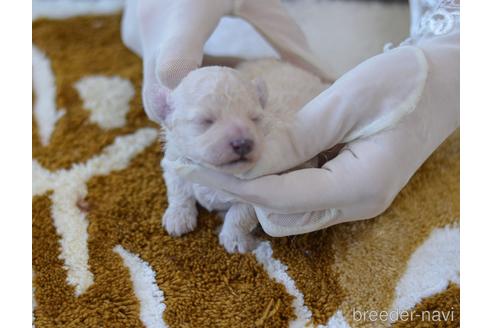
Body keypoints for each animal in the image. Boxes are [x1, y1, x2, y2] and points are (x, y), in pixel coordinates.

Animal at [160, 59, 324, 254]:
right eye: (206, 120)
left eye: (254, 118)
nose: (242, 143)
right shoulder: (174, 158)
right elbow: (178, 189)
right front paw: (178, 217)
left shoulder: (261, 193)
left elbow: (240, 213)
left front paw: (235, 239)